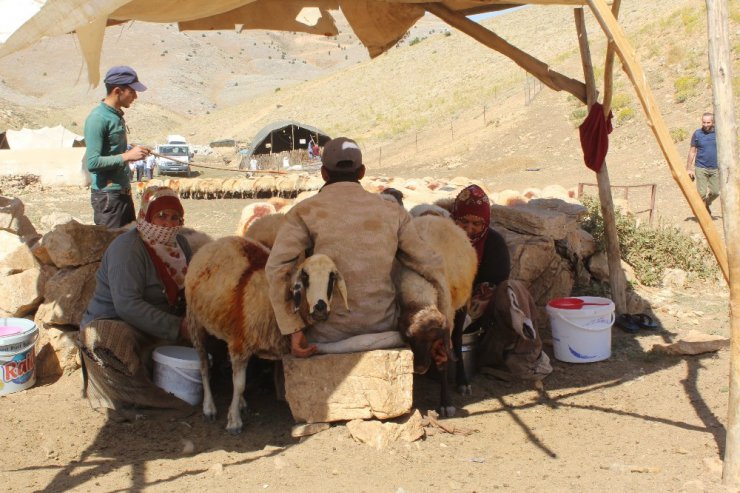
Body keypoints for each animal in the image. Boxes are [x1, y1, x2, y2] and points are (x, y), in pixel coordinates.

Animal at [184, 236, 348, 432]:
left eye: (332, 277)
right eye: (305, 277)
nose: (320, 309)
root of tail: (213, 243)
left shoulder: (241, 342)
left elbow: (242, 382)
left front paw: (236, 409)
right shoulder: (240, 344)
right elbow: (239, 384)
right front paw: (234, 422)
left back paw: (240, 403)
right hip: (195, 323)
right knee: (204, 366)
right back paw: (209, 407)